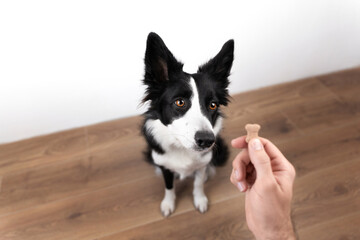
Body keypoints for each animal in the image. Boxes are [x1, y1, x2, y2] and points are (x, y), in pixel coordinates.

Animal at [141, 32, 233, 217]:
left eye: (213, 105)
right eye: (180, 102)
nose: (207, 141)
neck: (181, 147)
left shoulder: (202, 163)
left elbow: (198, 183)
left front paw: (200, 200)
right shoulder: (164, 164)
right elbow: (168, 186)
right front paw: (168, 204)